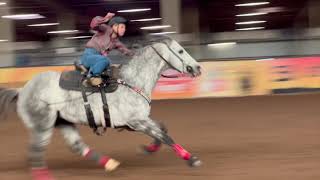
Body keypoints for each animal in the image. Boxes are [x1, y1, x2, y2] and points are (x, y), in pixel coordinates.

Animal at [0, 37, 202, 179]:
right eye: (180, 50)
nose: (197, 68)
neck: (131, 81)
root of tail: (22, 90)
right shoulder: (136, 121)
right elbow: (165, 136)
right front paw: (192, 159)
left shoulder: (140, 120)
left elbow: (161, 129)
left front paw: (147, 149)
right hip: (42, 125)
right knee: (35, 151)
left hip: (63, 121)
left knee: (76, 146)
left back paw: (110, 164)